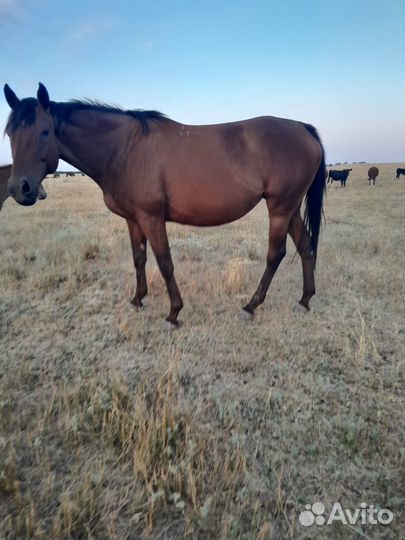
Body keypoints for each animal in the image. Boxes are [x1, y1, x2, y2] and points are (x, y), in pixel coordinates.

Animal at [3, 80, 326, 324]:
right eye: (10, 134)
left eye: (45, 131)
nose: (20, 188)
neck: (123, 149)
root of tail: (302, 128)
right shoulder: (133, 219)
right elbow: (139, 258)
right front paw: (137, 299)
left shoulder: (151, 217)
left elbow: (164, 262)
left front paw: (174, 312)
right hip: (290, 208)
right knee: (305, 246)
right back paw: (305, 298)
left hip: (280, 208)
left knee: (276, 254)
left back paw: (252, 304)